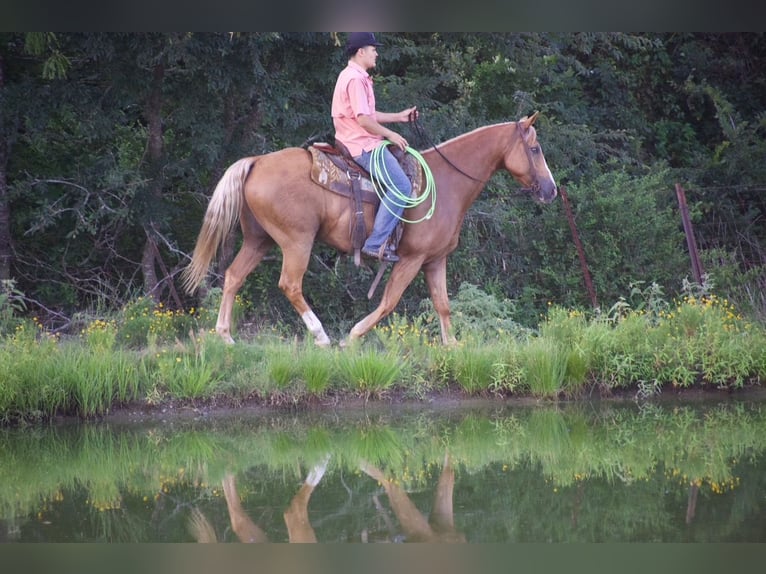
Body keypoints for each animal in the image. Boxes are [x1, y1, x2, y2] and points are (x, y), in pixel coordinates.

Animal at [182, 111, 557, 347]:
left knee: (233, 276)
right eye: (535, 149)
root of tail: (257, 161)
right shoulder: (411, 259)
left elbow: (442, 303)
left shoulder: (435, 260)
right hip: (296, 241)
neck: (446, 183)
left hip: (259, 240)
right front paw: (353, 335)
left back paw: (225, 335)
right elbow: (390, 302)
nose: (551, 190)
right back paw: (321, 336)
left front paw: (452, 345)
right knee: (290, 284)